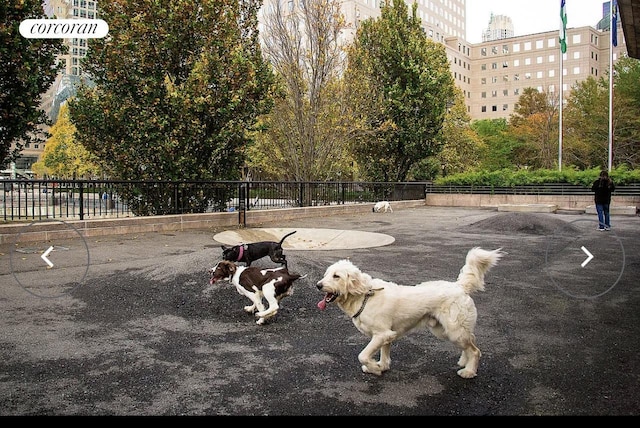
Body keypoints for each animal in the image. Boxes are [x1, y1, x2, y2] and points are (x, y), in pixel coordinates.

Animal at [316, 247, 504, 378]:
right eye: (326, 274)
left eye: (336, 276)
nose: (318, 285)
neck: (364, 296)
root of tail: (459, 286)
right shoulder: (387, 336)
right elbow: (384, 355)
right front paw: (381, 366)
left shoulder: (382, 334)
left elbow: (362, 355)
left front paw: (374, 368)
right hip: (445, 331)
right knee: (471, 341)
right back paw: (464, 362)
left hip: (454, 330)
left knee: (475, 350)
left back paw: (469, 371)